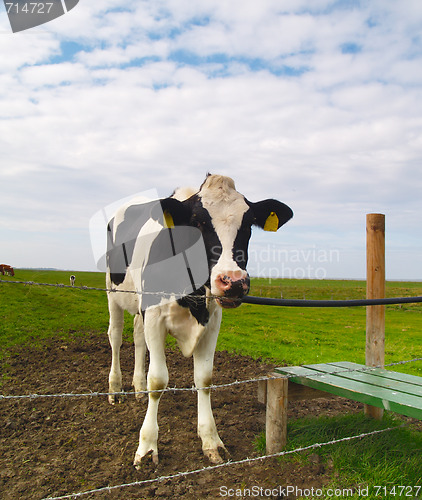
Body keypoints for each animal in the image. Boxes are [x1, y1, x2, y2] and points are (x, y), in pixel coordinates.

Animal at [104, 174, 294, 466]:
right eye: (198, 222)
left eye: (248, 224)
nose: (233, 282)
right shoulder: (154, 316)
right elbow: (158, 380)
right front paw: (147, 446)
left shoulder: (213, 321)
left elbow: (204, 379)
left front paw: (211, 441)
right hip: (112, 292)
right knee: (115, 336)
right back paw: (115, 389)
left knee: (137, 338)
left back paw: (137, 388)